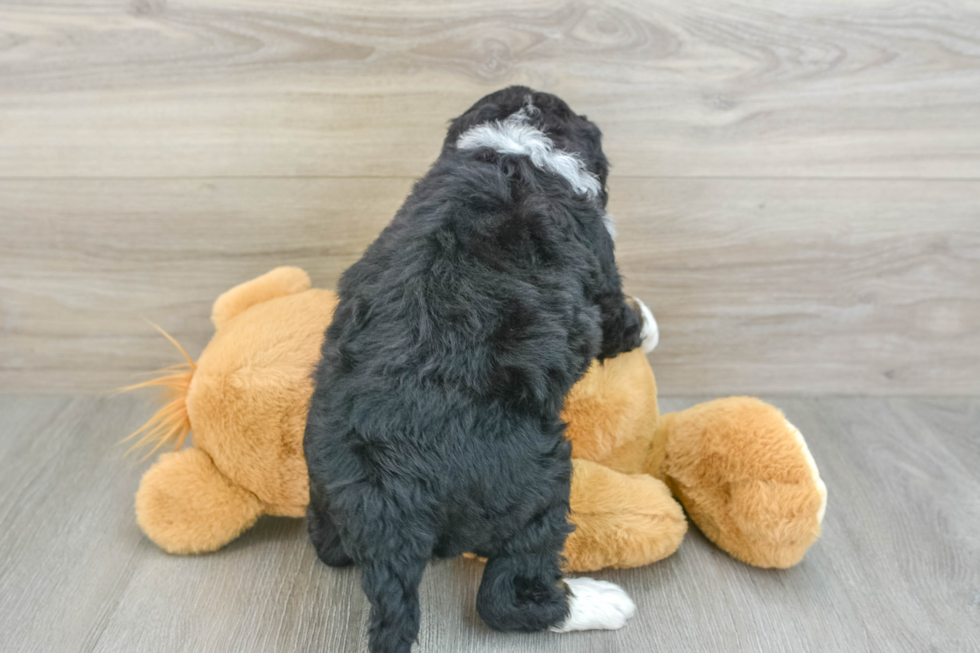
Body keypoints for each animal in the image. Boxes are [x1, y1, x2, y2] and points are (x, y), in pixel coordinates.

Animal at [304, 86, 660, 652]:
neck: (515, 150)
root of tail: (386, 503)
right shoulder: (601, 273)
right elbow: (619, 318)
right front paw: (648, 325)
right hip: (538, 485)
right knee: (504, 598)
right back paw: (595, 603)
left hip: (324, 485)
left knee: (329, 547)